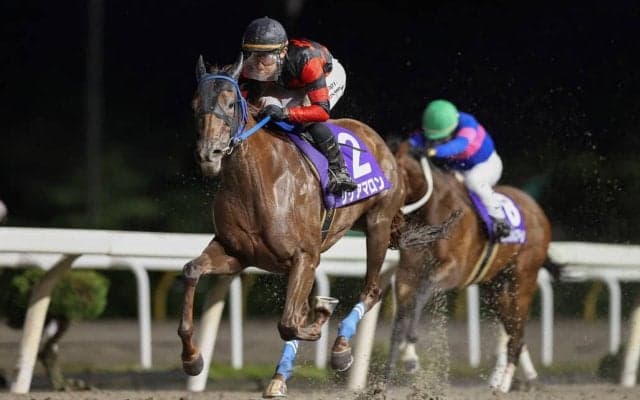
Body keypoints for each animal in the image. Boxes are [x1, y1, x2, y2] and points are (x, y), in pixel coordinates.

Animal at [178, 54, 419, 398]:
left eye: (230, 102)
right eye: (195, 103)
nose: (208, 154)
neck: (257, 182)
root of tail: (378, 141)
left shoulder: (304, 256)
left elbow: (291, 323)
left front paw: (323, 315)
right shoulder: (235, 254)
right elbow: (191, 271)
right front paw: (192, 359)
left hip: (378, 225)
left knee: (371, 290)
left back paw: (340, 349)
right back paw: (278, 378)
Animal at [384, 135, 559, 393]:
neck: (431, 210)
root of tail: (537, 210)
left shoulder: (454, 270)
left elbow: (424, 291)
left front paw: (412, 341)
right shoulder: (407, 273)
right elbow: (399, 319)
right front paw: (388, 375)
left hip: (523, 280)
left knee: (516, 335)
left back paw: (503, 385)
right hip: (494, 288)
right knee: (514, 331)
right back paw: (513, 380)